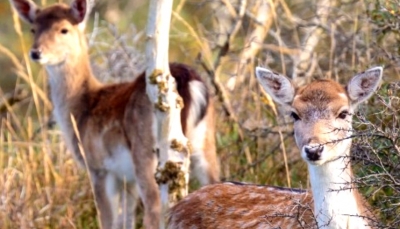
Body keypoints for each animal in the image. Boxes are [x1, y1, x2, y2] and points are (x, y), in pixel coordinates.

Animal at [8, 0, 219, 229]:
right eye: (33, 29)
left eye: (64, 29)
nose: (36, 52)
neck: (81, 109)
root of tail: (188, 81)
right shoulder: (126, 178)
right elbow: (125, 219)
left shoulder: (98, 167)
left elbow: (108, 219)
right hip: (206, 143)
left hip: (147, 150)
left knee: (154, 205)